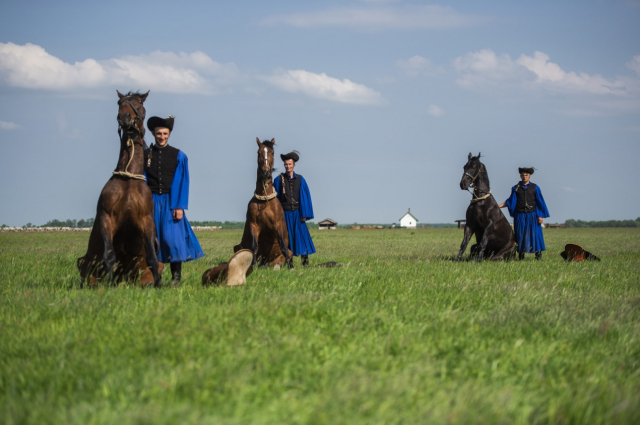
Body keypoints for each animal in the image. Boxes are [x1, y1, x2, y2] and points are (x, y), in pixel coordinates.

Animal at [77, 90, 162, 286]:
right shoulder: (107, 219)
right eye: (119, 102)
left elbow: (153, 258)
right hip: (85, 264)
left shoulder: (146, 221)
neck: (128, 180)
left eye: (139, 102)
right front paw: (109, 286)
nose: (124, 117)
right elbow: (109, 256)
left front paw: (158, 285)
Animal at [235, 137, 296, 266]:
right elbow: (254, 247)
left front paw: (291, 267)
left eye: (272, 152)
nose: (265, 171)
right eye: (258, 152)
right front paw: (252, 266)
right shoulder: (254, 225)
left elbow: (283, 246)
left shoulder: (277, 225)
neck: (264, 199)